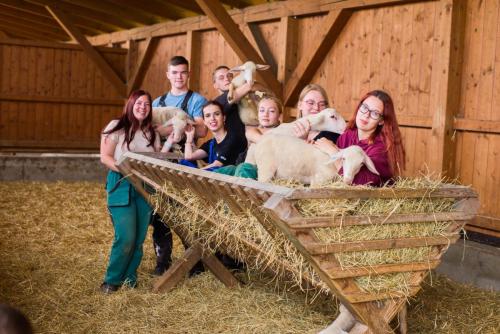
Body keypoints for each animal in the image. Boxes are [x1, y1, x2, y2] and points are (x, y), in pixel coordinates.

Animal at [245, 135, 378, 187]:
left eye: (361, 164)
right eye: (344, 158)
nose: (348, 180)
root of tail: (259, 142)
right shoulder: (318, 180)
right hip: (266, 169)